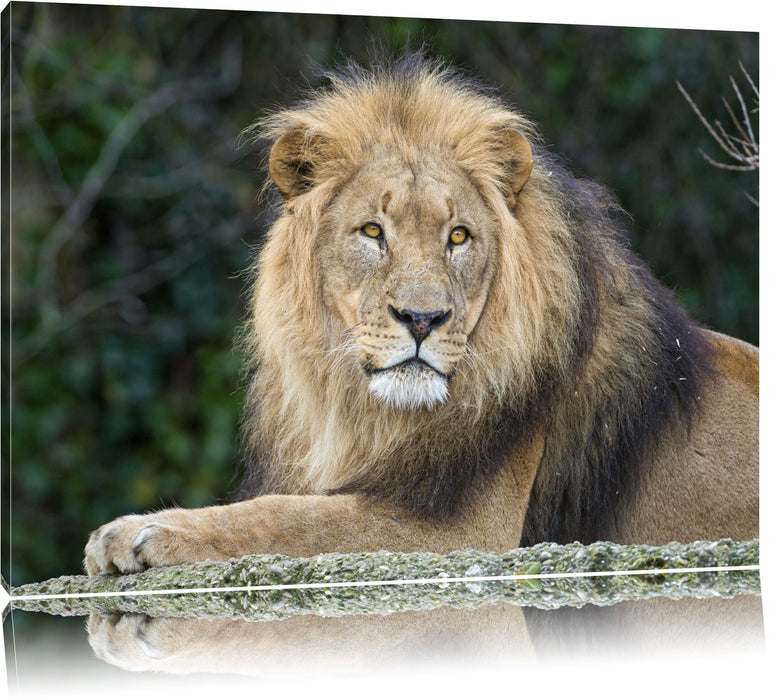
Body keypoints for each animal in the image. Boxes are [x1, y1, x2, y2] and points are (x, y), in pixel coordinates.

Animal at [85, 52, 756, 572]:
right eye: (372, 231)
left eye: (458, 237)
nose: (421, 320)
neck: (365, 413)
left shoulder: (459, 531)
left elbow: (286, 517)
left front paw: (145, 530)